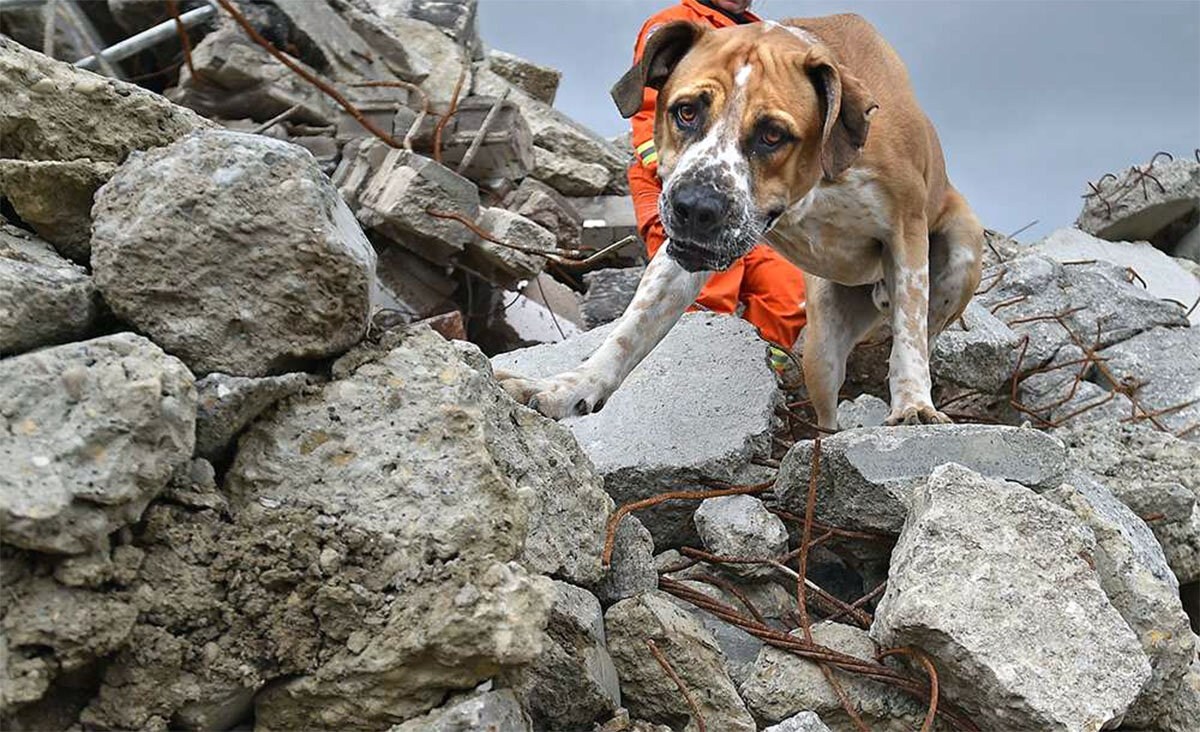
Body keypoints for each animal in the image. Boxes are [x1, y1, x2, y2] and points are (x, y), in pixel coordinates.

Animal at [496, 12, 984, 427]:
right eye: (686, 111)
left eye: (773, 134)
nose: (695, 206)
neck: (814, 184)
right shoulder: (680, 258)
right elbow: (629, 330)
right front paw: (568, 387)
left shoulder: (906, 230)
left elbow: (909, 330)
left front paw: (913, 403)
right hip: (821, 351)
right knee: (826, 407)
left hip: (961, 254)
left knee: (925, 326)